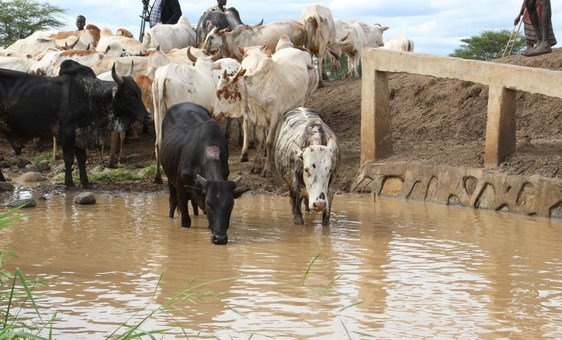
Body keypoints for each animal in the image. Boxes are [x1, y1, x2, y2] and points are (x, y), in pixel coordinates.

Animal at [0, 59, 149, 186]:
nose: (148, 116)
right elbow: (69, 159)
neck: (89, 94)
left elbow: (81, 159)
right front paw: (69, 183)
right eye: (130, 94)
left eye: (139, 92)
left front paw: (85, 182)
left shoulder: (81, 133)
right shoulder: (67, 132)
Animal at [159, 101, 244, 244]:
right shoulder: (181, 190)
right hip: (170, 181)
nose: (220, 239)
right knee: (172, 202)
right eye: (209, 203)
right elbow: (185, 221)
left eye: (231, 205)